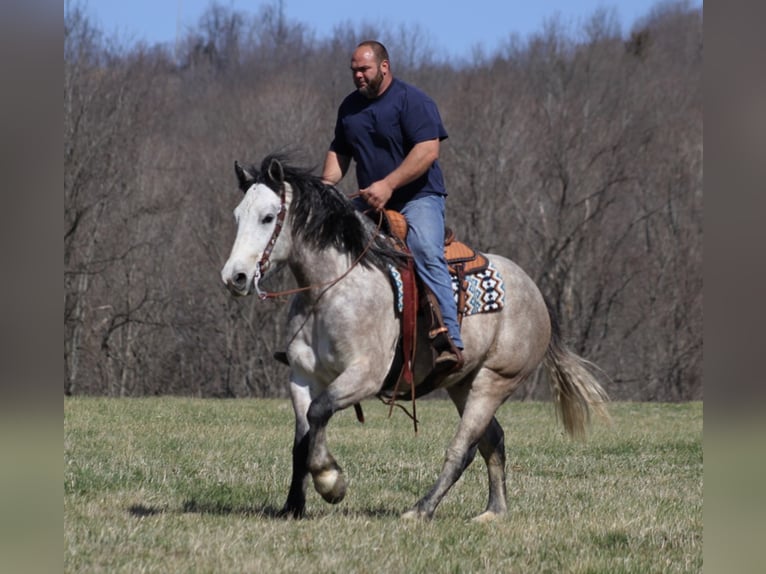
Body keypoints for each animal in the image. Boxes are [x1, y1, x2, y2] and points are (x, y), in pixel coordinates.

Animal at [222, 155, 612, 524]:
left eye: (268, 217)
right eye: (238, 215)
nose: (234, 277)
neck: (332, 290)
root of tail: (535, 292)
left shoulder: (364, 376)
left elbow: (319, 412)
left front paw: (331, 483)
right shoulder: (302, 377)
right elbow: (302, 440)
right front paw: (293, 506)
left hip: (494, 381)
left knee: (463, 448)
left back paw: (421, 509)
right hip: (463, 384)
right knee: (493, 441)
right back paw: (493, 512)